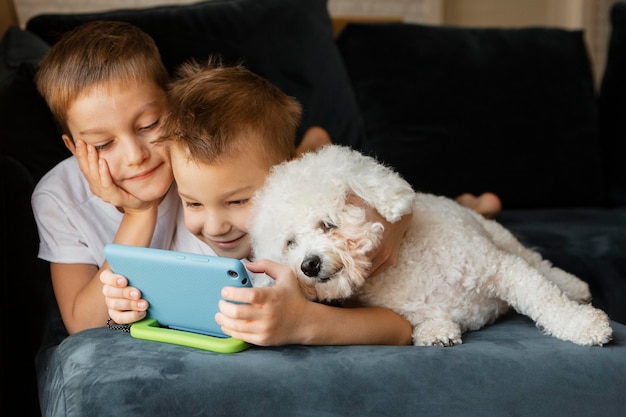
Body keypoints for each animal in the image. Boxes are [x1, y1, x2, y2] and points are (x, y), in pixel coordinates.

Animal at [246, 145, 612, 346]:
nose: (307, 265)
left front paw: (584, 325)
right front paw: (436, 330)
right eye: (290, 243)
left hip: (501, 239)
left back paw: (574, 286)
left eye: (327, 224)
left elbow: (545, 299)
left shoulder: (501, 269)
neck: (402, 267)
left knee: (539, 264)